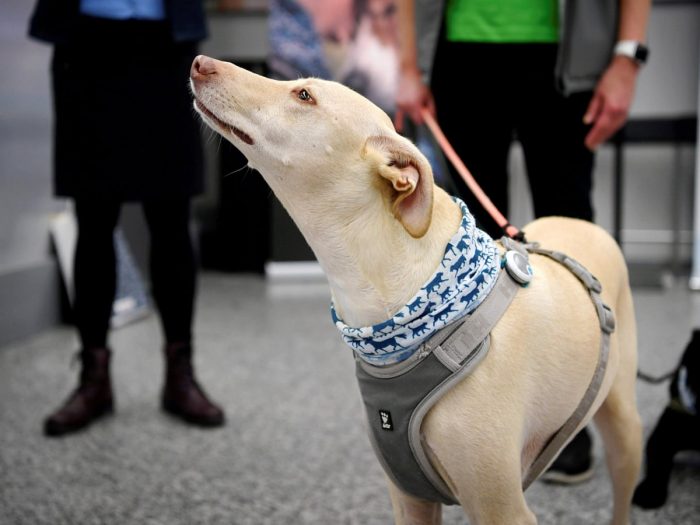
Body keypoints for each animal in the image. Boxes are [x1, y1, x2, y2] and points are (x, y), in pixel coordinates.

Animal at [189, 56, 644, 524]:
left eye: (304, 95)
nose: (201, 63)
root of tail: (583, 225)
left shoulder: (502, 507)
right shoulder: (409, 494)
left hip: (624, 427)